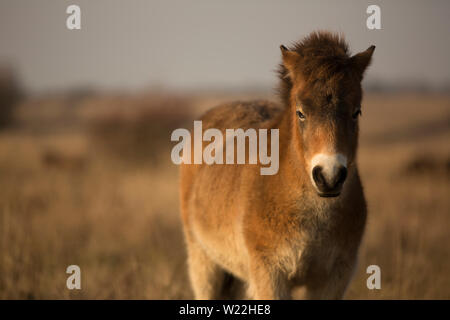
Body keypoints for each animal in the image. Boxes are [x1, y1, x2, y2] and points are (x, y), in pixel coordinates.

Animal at [178, 31, 372, 298]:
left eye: (356, 112)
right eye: (300, 113)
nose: (329, 177)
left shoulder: (333, 278)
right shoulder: (269, 274)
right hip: (204, 264)